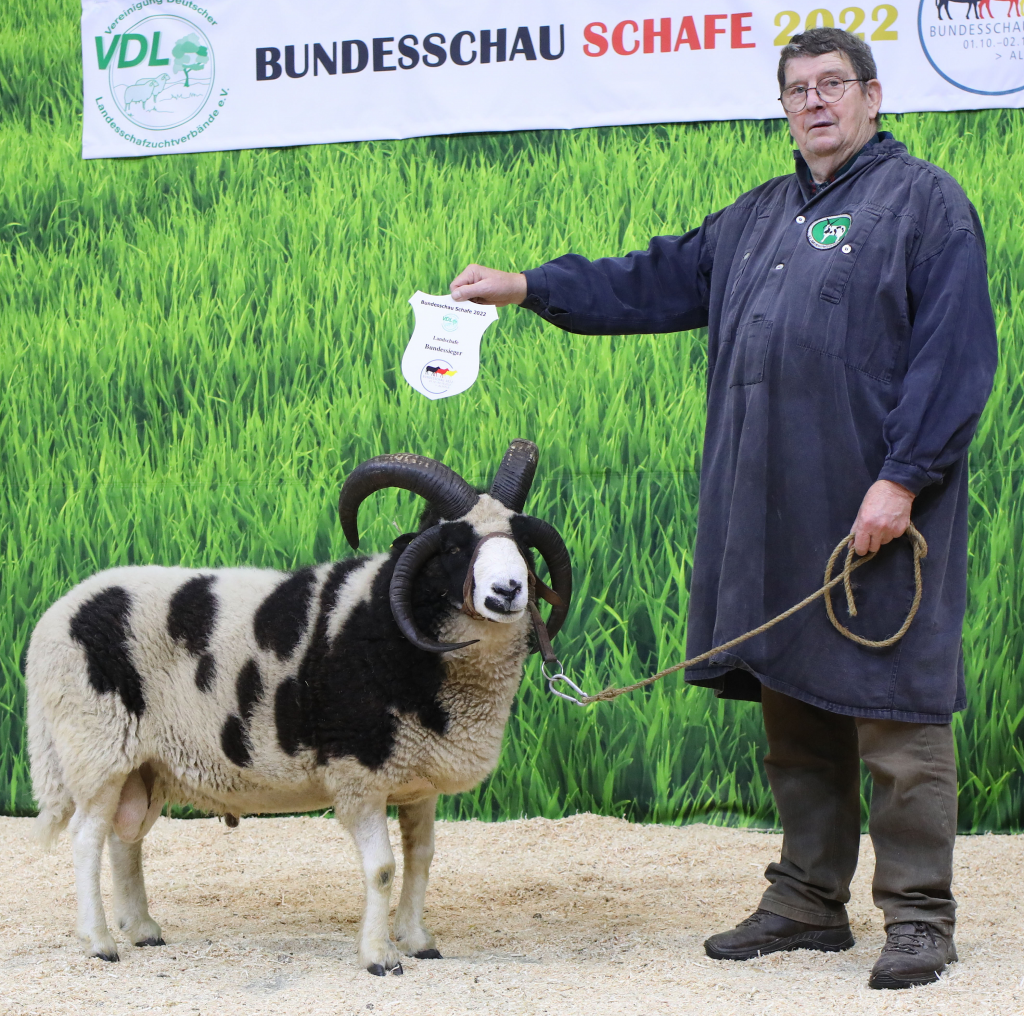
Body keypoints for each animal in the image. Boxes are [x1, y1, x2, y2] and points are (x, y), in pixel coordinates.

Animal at [26, 440, 572, 976]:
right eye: (455, 547)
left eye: (523, 546)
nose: (508, 590)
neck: (394, 623)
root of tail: (52, 620)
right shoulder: (358, 774)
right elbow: (383, 869)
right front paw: (380, 957)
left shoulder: (417, 779)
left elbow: (422, 858)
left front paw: (418, 942)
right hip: (95, 750)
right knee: (86, 839)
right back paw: (99, 943)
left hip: (143, 764)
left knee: (126, 839)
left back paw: (142, 930)